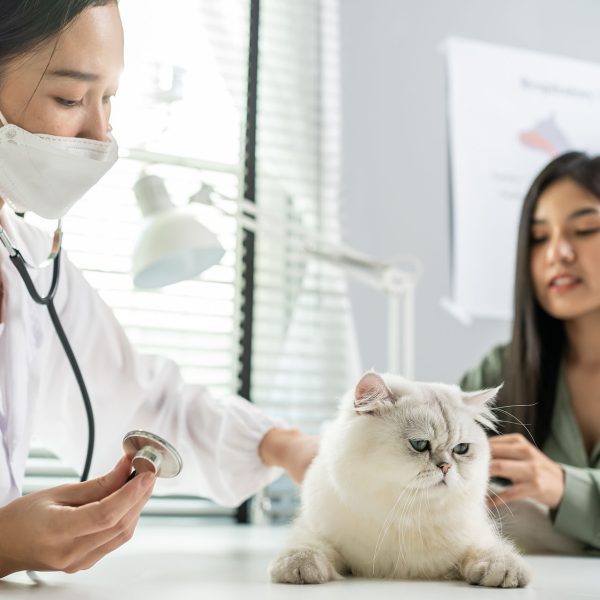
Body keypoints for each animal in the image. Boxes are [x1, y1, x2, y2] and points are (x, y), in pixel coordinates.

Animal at [270, 370, 528, 584]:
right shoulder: (316, 529)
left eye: (461, 449)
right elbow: (308, 546)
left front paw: (505, 572)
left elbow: (489, 549)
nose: (446, 467)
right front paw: (299, 567)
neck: (407, 515)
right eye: (419, 444)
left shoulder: (476, 536)